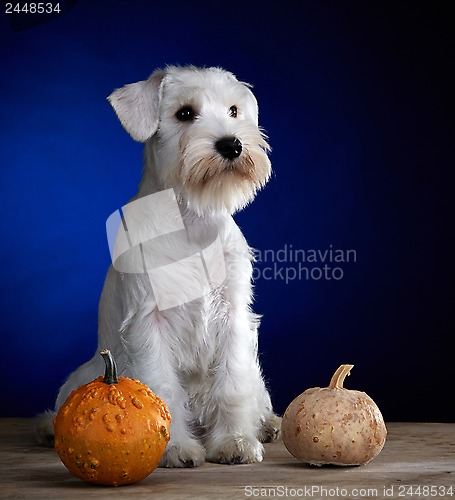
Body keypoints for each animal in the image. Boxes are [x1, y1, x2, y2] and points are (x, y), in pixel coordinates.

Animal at [37, 65, 282, 464]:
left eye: (233, 110)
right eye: (184, 113)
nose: (232, 145)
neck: (192, 222)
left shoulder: (232, 316)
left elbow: (233, 386)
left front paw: (234, 442)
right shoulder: (148, 322)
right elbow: (162, 388)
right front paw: (176, 447)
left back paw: (267, 424)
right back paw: (47, 428)